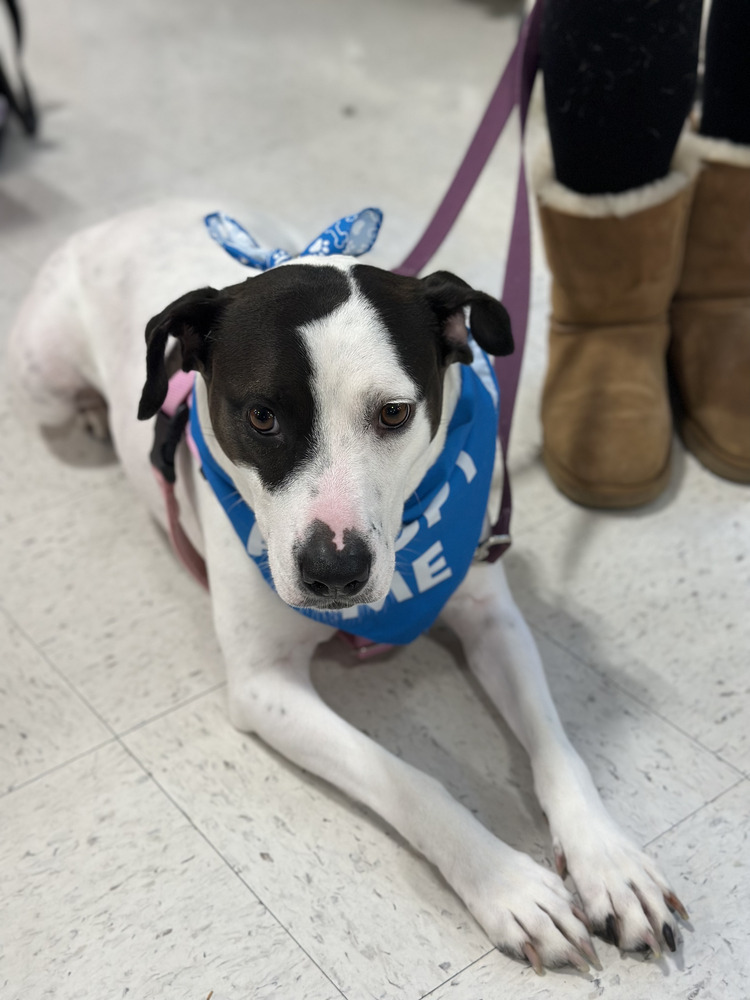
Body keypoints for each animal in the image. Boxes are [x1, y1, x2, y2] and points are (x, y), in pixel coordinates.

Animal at [7, 199, 688, 972]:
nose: (334, 572)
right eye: (260, 416)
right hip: (41, 377)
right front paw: (507, 883)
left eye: (394, 413)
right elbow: (413, 780)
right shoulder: (265, 687)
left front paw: (611, 862)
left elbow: (558, 745)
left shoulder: (492, 617)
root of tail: (125, 215)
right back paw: (93, 412)